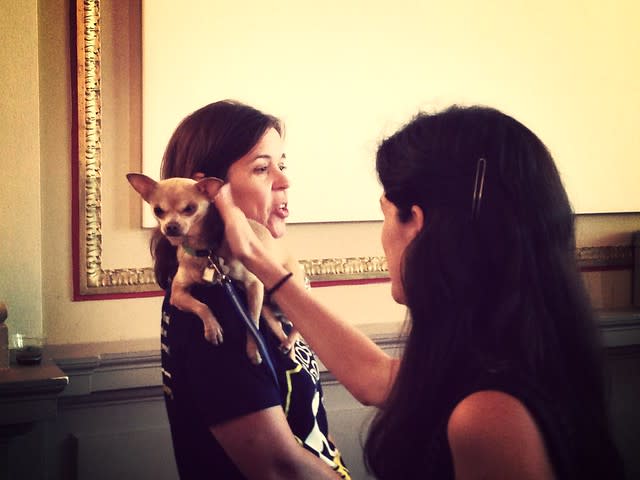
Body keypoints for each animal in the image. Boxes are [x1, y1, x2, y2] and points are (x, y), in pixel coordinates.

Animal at [129, 173, 304, 364]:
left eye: (190, 208)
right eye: (158, 210)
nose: (171, 227)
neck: (204, 252)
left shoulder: (254, 285)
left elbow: (252, 323)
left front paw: (253, 350)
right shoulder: (177, 293)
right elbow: (201, 306)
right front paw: (212, 328)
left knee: (296, 328)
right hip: (268, 313)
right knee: (281, 331)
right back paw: (288, 349)